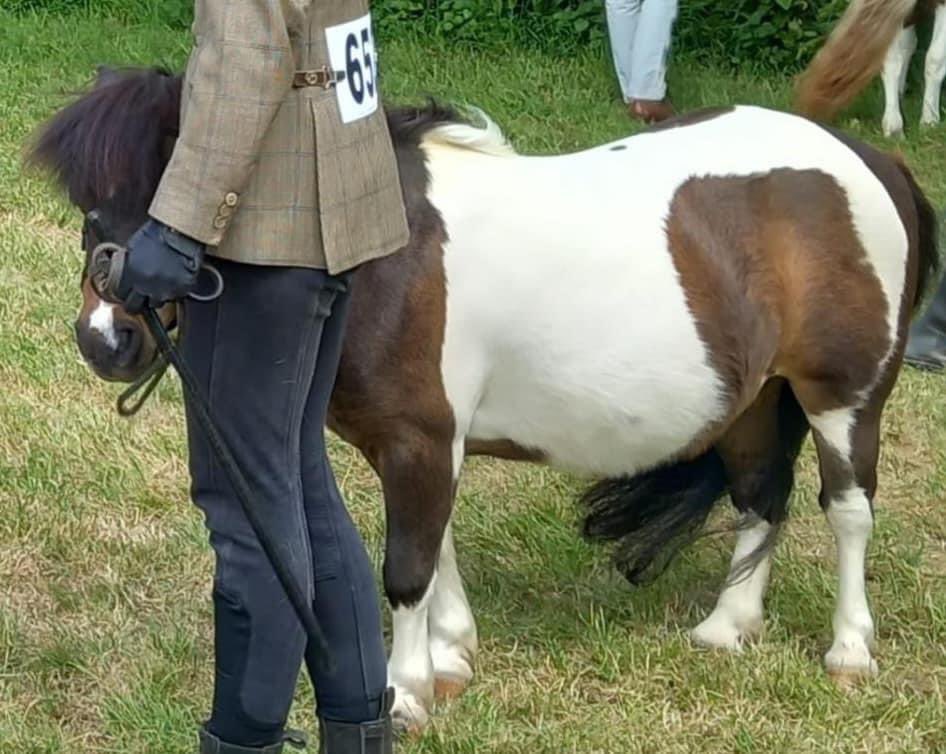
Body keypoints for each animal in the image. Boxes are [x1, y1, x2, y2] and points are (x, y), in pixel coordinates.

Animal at [29, 66, 938, 731]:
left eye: (173, 192)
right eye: (88, 205)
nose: (106, 339)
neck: (383, 255)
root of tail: (868, 160)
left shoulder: (421, 440)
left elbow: (406, 568)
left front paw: (405, 694)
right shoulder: (420, 442)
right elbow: (436, 551)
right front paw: (452, 657)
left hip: (843, 399)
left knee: (847, 510)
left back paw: (849, 651)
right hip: (753, 400)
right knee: (760, 497)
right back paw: (727, 627)